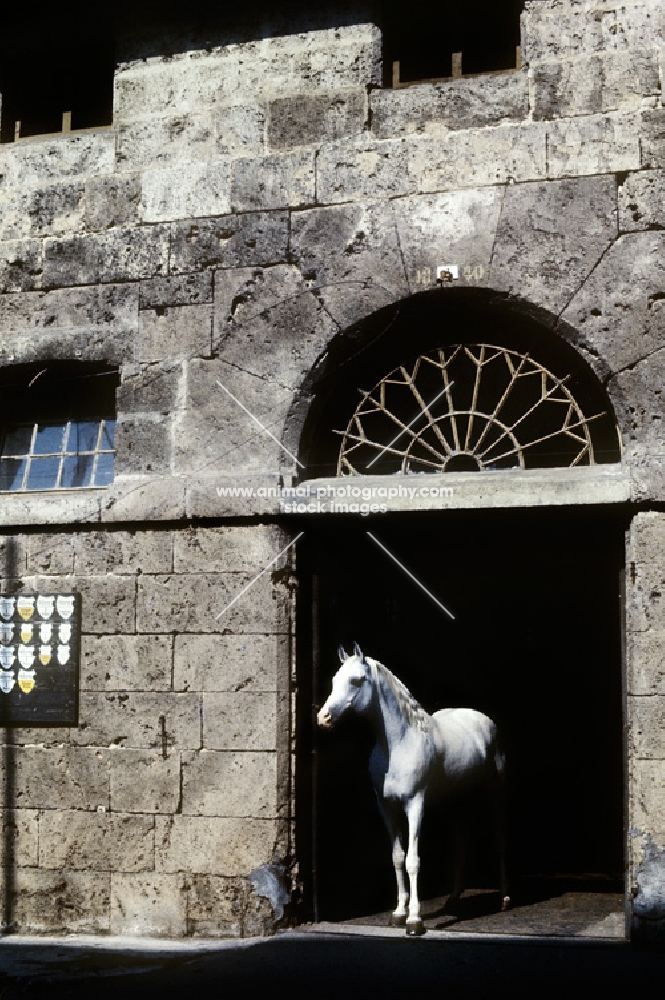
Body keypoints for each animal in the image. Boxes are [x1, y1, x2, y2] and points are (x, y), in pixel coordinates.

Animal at [316, 644, 508, 932]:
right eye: (333, 680)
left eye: (356, 680)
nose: (323, 718)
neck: (399, 743)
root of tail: (484, 721)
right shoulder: (386, 807)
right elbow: (397, 856)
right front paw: (398, 913)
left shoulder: (415, 805)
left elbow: (413, 861)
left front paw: (415, 920)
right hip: (456, 800)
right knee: (461, 840)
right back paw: (453, 898)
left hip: (494, 792)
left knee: (499, 837)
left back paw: (505, 898)